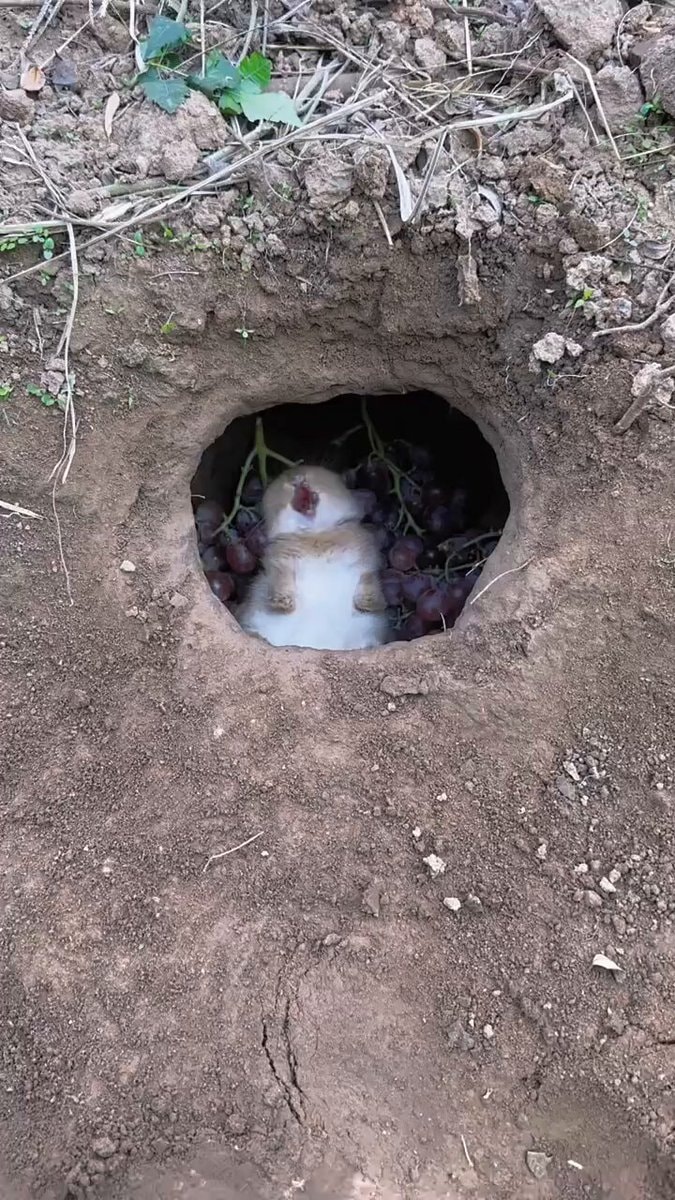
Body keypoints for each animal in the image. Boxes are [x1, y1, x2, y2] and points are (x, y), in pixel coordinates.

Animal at [238, 465, 390, 650]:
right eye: (284, 483)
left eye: (313, 474)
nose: (298, 479)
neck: (315, 534)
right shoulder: (280, 563)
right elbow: (280, 580)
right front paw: (283, 601)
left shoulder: (366, 562)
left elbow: (368, 580)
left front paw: (369, 602)